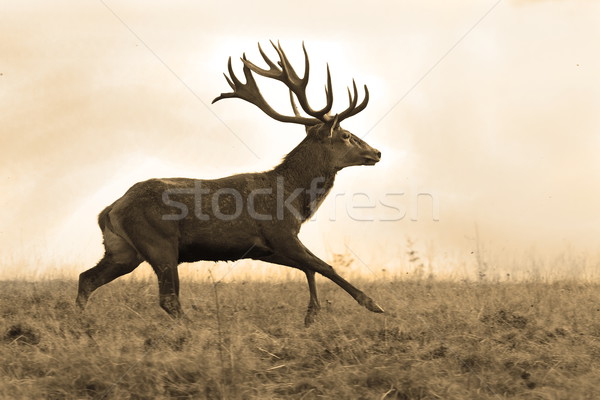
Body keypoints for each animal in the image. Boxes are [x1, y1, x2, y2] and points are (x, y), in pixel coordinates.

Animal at [76, 42, 384, 326]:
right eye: (346, 135)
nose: (377, 152)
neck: (294, 199)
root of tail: (109, 210)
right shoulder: (280, 233)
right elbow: (325, 266)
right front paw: (371, 303)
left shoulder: (264, 249)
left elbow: (310, 269)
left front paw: (311, 314)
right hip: (159, 243)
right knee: (168, 298)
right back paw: (192, 330)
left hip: (123, 250)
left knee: (86, 278)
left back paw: (81, 323)